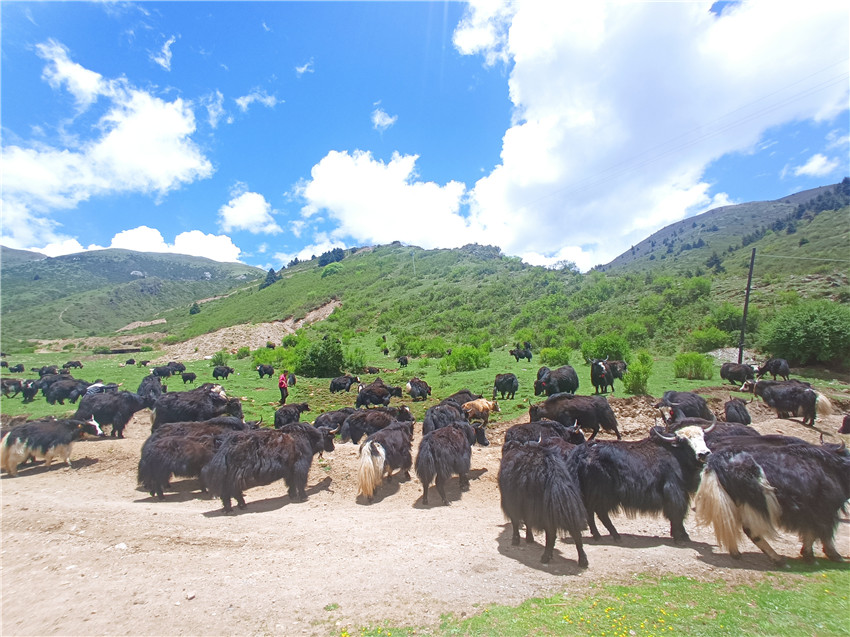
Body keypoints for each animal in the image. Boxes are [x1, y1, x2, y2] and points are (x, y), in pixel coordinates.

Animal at [565, 425, 713, 543]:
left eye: (703, 436)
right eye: (684, 441)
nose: (704, 454)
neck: (675, 453)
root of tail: (580, 453)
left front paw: (681, 535)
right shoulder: (674, 490)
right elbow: (677, 513)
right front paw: (680, 537)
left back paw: (602, 535)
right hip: (600, 492)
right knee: (598, 512)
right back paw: (612, 535)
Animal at [695, 435, 850, 564]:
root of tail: (715, 462)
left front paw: (809, 555)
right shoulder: (824, 510)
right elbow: (823, 534)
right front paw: (832, 555)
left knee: (730, 524)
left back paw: (736, 552)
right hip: (753, 504)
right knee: (751, 531)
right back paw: (778, 559)